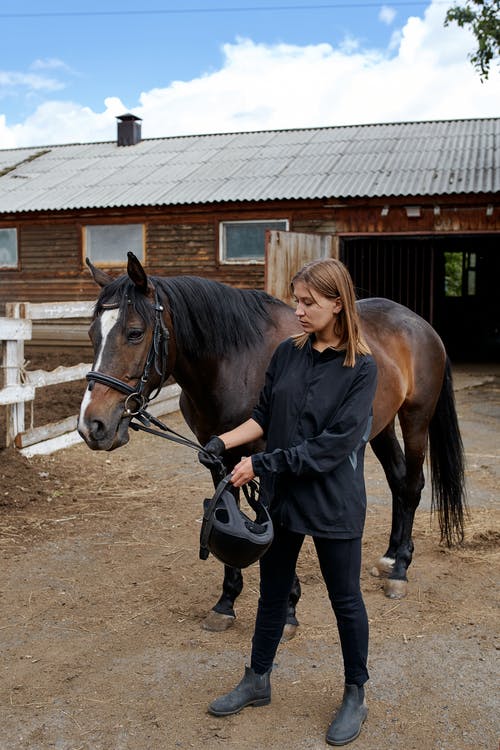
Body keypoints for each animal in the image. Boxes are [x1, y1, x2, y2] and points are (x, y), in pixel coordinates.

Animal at [77, 254, 464, 640]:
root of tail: (419, 324)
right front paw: (226, 604)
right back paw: (389, 558)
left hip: (415, 418)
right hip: (380, 427)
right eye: (92, 335)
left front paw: (287, 609)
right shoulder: (219, 456)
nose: (92, 426)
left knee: (411, 485)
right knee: (398, 482)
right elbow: (227, 511)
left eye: (134, 333)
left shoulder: (267, 459)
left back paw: (399, 571)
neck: (236, 361)